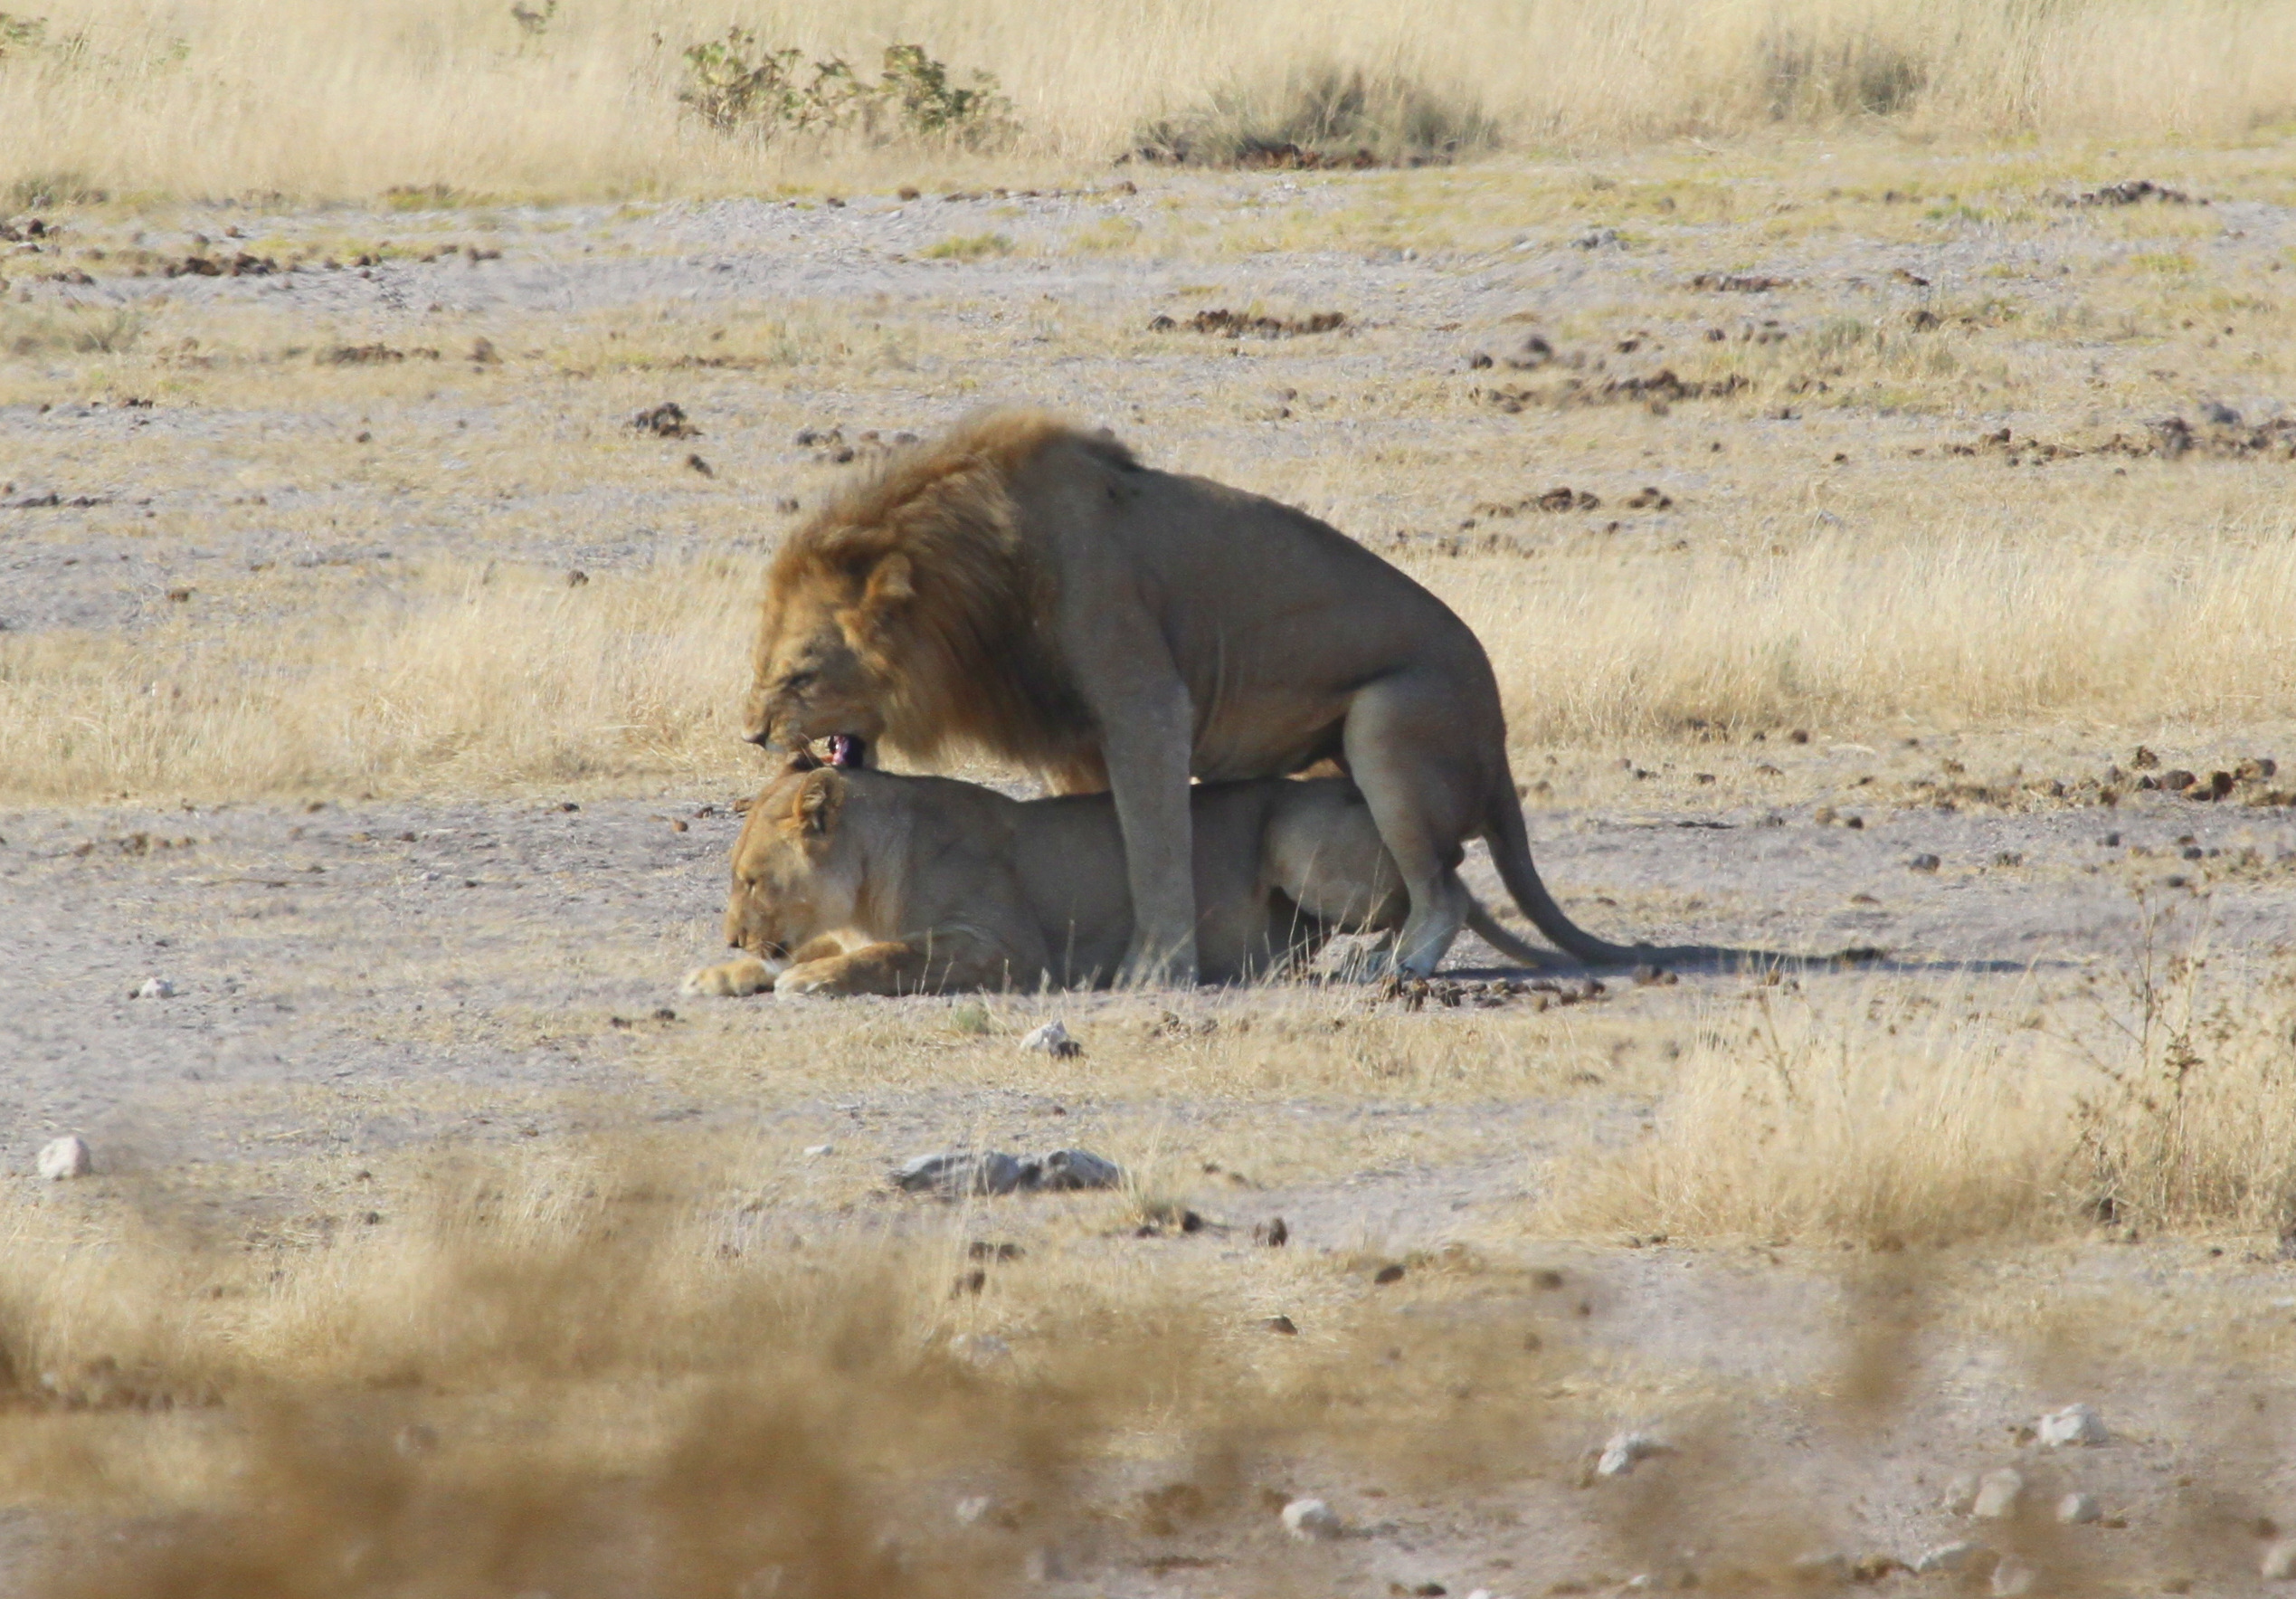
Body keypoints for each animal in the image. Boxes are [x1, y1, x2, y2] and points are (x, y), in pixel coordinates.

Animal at [680, 755, 1552, 998]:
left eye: (750, 879)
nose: (732, 934)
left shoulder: (1008, 948)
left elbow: (885, 956)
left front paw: (809, 980)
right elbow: (828, 946)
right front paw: (722, 973)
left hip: (1297, 835)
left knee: (1446, 883)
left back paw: (1390, 960)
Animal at [742, 408, 1646, 982]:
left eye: (800, 673)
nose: (754, 735)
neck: (982, 583)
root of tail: (1498, 746)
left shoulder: (1145, 704)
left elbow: (1157, 847)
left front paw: (1156, 969)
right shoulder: (1082, 739)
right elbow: (1116, 841)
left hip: (1388, 725)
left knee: (1446, 883)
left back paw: (1397, 964)